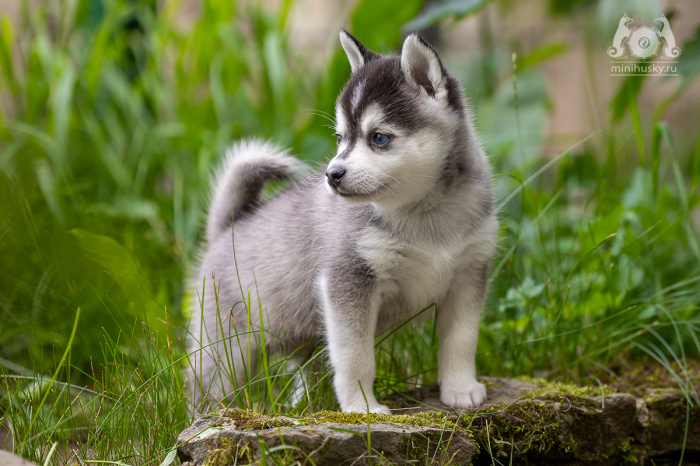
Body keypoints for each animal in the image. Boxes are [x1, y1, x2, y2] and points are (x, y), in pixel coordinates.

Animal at [187, 30, 498, 416]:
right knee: (210, 385)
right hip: (226, 348)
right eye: (340, 138)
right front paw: (363, 408)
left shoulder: (468, 275)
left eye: (379, 137)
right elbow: (356, 357)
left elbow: (461, 341)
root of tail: (227, 227)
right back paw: (210, 416)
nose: (331, 175)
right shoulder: (348, 282)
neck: (426, 215)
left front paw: (460, 389)